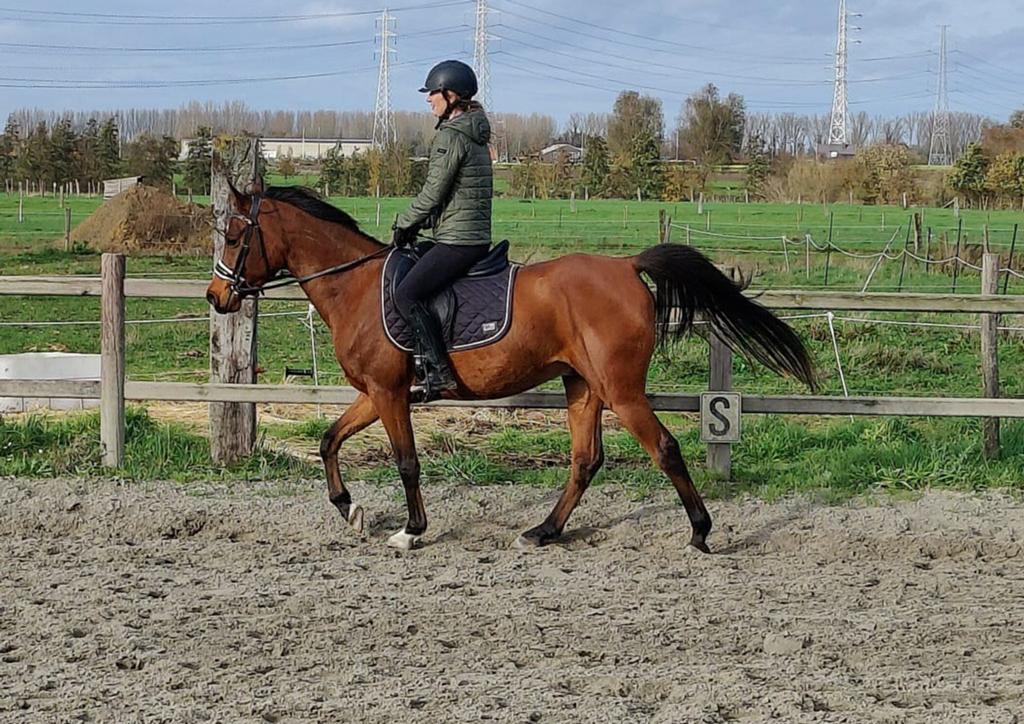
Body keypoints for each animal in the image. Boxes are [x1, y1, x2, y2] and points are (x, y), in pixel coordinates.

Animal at [205, 182, 815, 553]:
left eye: (234, 236)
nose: (216, 297)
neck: (353, 283)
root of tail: (625, 265)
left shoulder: (389, 392)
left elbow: (406, 462)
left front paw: (410, 531)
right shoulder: (374, 391)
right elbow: (330, 440)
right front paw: (348, 509)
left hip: (620, 389)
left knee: (663, 448)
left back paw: (700, 533)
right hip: (582, 386)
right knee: (585, 461)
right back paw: (543, 531)